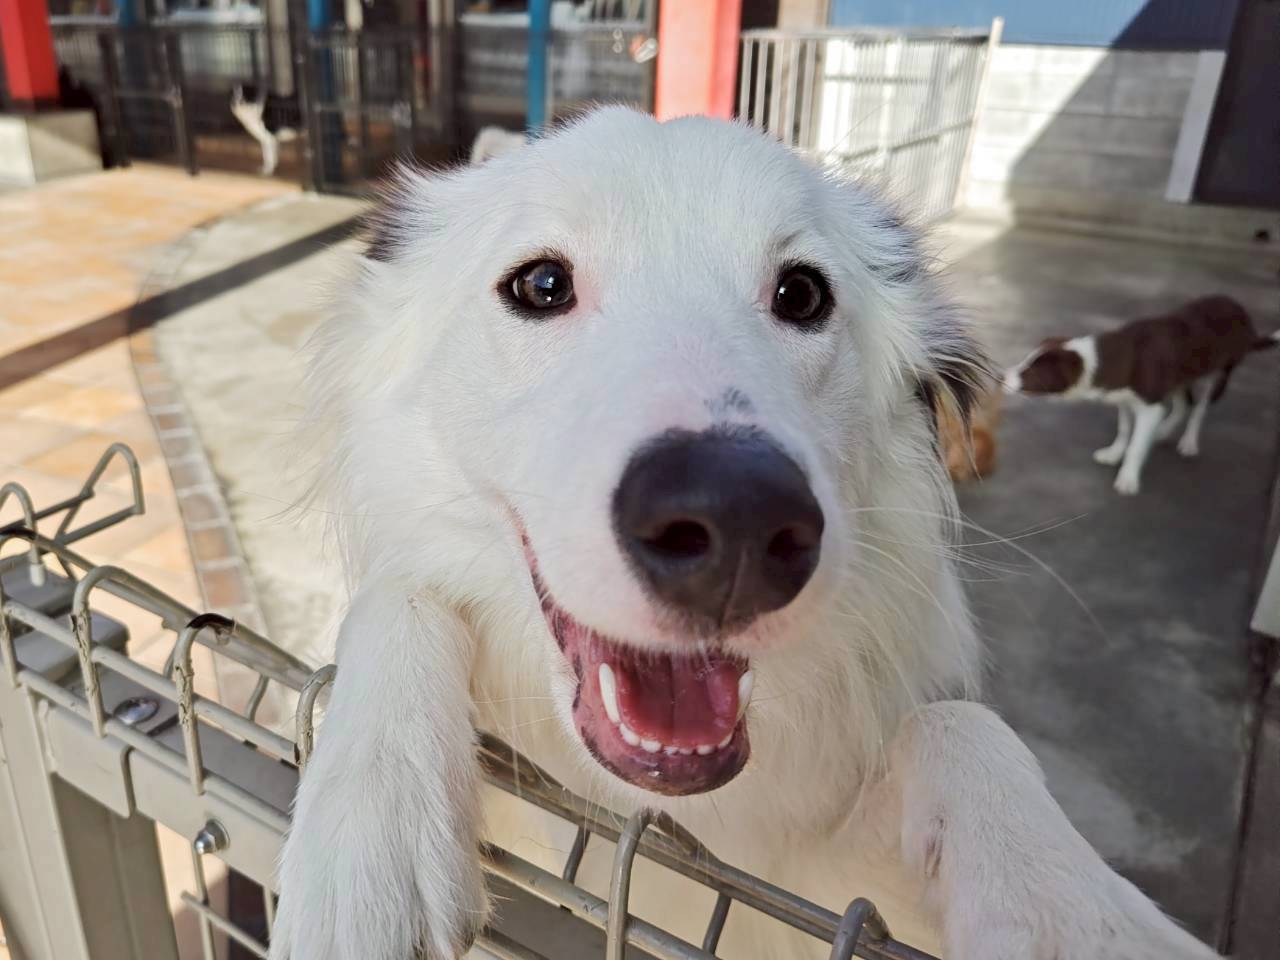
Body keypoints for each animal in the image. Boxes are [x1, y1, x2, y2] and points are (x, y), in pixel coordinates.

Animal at [269, 107, 1217, 960]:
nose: (735, 522)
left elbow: (958, 724)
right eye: (540, 285)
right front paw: (365, 840)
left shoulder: (807, 881)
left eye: (802, 293)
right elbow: (395, 597)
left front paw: (1072, 915)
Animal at [1004, 295, 1278, 495]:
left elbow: (1136, 444)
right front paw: (1114, 454)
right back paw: (1163, 431)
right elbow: (1125, 429)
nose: (1001, 377)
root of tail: (1243, 313)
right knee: (1184, 403)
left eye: (1030, 372)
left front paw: (1128, 478)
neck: (1110, 357)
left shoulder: (1150, 405)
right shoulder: (1123, 397)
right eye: (1024, 361)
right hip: (1180, 374)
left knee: (1199, 409)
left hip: (1219, 372)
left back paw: (1188, 441)